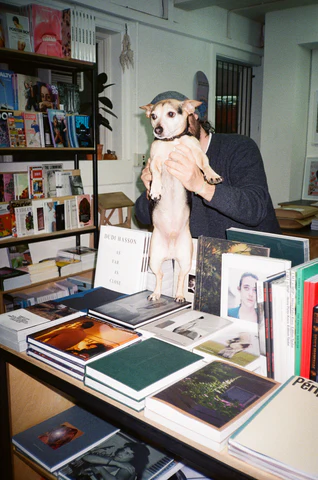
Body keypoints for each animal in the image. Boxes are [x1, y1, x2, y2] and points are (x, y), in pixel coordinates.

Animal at [140, 98, 222, 304]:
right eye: (154, 116)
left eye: (171, 114)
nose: (157, 130)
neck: (173, 141)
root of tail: (171, 252)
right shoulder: (155, 161)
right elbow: (156, 175)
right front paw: (155, 190)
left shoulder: (197, 154)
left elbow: (205, 164)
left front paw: (211, 175)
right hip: (154, 259)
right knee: (160, 276)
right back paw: (156, 294)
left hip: (185, 261)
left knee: (181, 278)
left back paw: (178, 295)